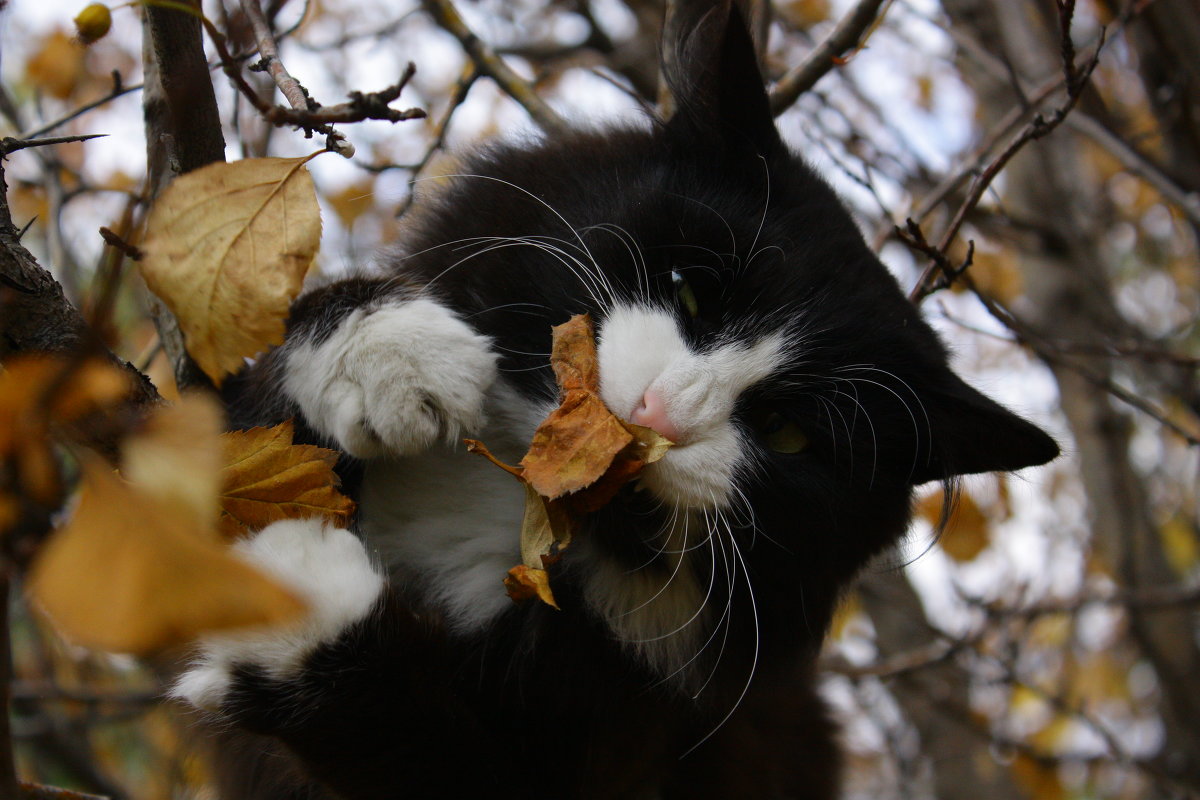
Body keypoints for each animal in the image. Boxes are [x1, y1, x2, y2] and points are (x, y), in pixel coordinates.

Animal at [171, 3, 1060, 796]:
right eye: (692, 293)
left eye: (788, 434)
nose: (661, 413)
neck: (509, 499)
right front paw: (393, 357)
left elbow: (412, 728)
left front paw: (292, 586)